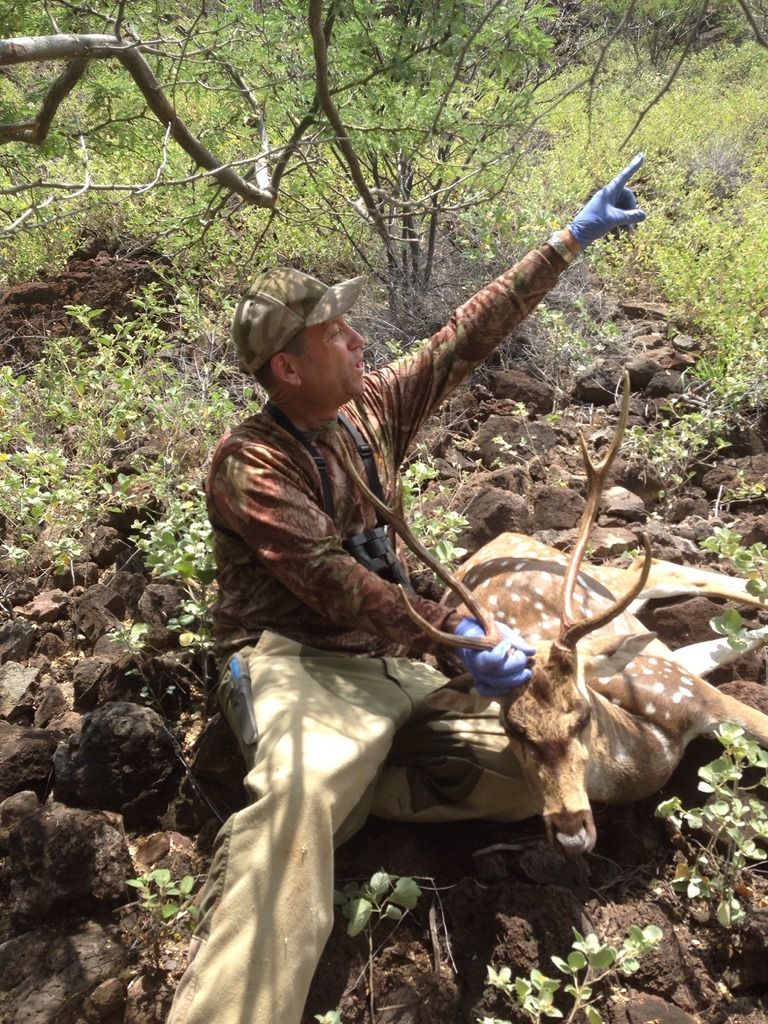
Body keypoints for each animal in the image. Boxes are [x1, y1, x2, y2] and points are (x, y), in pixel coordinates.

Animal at [342, 373, 768, 857]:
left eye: (581, 716)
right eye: (513, 729)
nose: (571, 834)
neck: (655, 740)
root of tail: (502, 537)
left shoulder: (688, 691)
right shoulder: (672, 679)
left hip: (604, 587)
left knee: (664, 566)